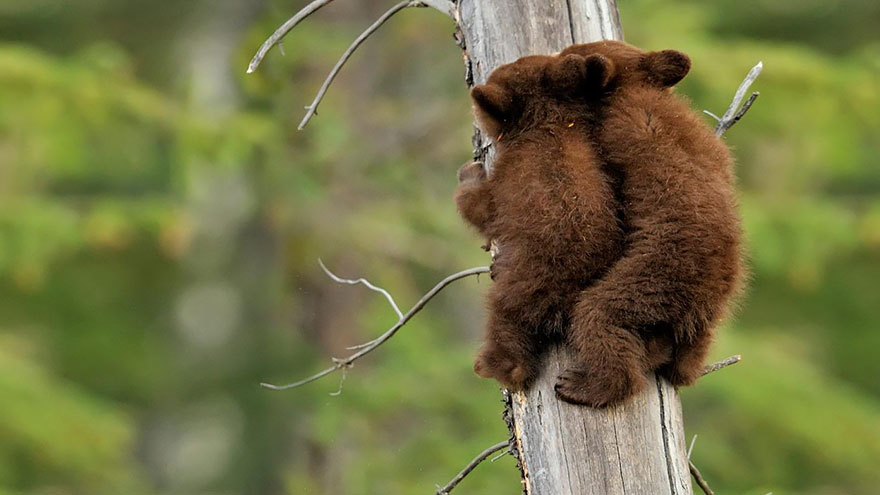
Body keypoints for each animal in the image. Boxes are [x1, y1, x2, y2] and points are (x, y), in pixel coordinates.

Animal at [455, 41, 744, 408]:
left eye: (570, 50)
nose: (562, 55)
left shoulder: (519, 174)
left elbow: (484, 208)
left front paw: (469, 173)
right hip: (707, 311)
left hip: (646, 279)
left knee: (586, 318)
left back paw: (568, 381)